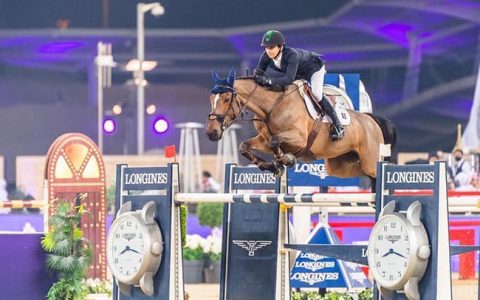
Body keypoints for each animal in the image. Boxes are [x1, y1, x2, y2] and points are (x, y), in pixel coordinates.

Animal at [206, 69, 398, 184]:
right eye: (211, 99)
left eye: (226, 99)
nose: (211, 133)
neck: (272, 106)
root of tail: (370, 120)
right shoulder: (263, 140)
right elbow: (245, 146)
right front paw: (272, 166)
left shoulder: (299, 139)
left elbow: (275, 141)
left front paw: (286, 160)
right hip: (340, 165)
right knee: (362, 173)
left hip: (370, 160)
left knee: (376, 171)